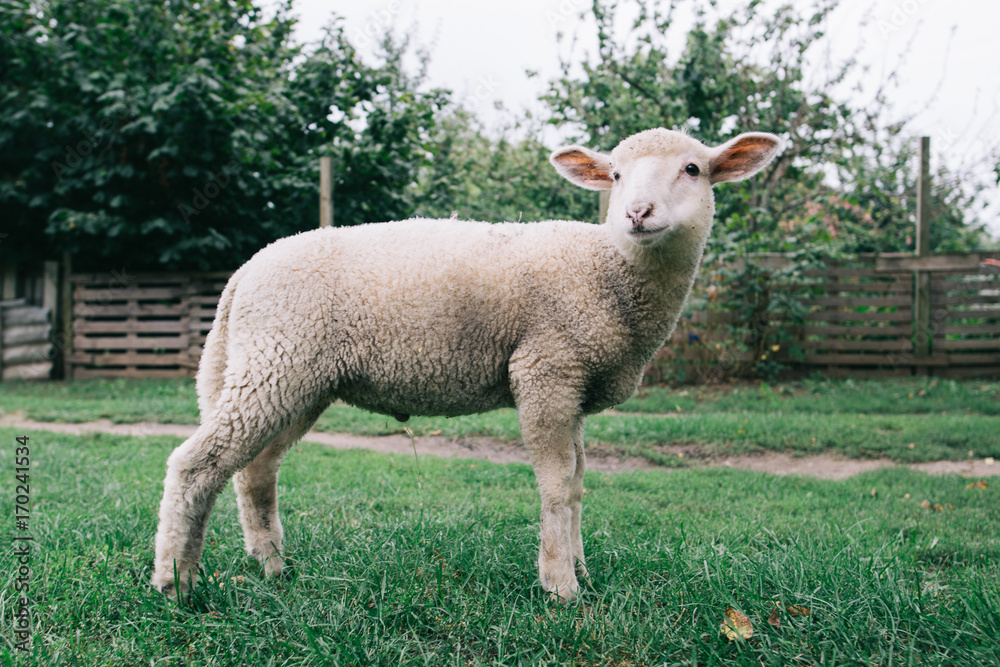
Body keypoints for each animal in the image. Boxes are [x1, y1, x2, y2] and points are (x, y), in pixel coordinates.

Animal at [151, 127, 780, 602]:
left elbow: (579, 482)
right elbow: (556, 483)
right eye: (617, 175)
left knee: (255, 471)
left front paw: (581, 569)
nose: (637, 213)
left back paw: (274, 568)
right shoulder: (545, 369)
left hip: (295, 377)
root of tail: (242, 274)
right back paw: (176, 582)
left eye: (693, 169)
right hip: (276, 361)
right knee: (196, 464)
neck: (610, 273)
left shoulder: (575, 385)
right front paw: (561, 587)